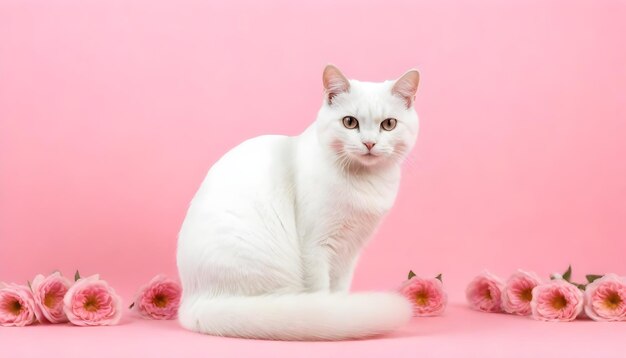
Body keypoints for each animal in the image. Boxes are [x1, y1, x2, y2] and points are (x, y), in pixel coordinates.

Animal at [176, 65, 420, 342]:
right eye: (350, 122)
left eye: (389, 124)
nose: (369, 143)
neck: (365, 183)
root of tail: (193, 302)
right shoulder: (316, 246)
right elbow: (322, 291)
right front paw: (334, 315)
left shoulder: (349, 251)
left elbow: (340, 289)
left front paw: (342, 307)